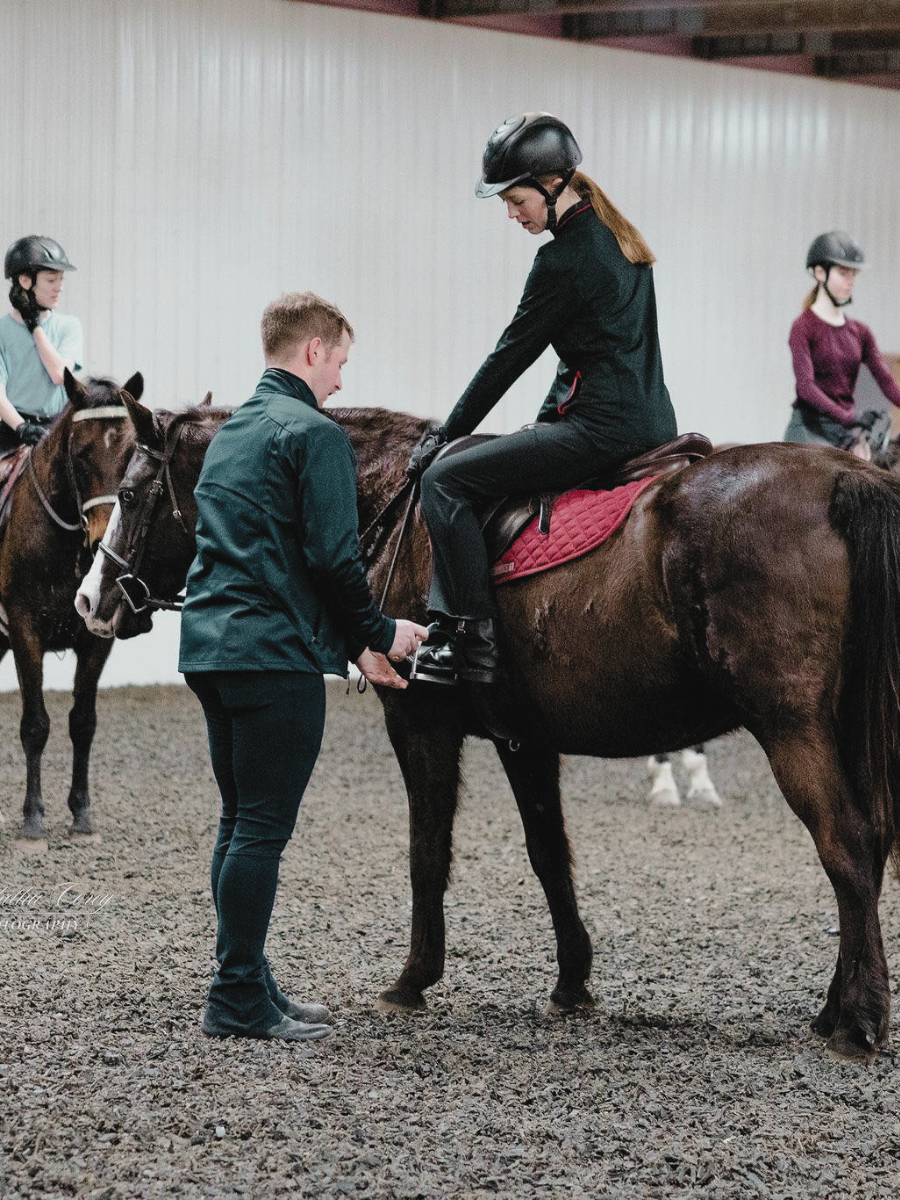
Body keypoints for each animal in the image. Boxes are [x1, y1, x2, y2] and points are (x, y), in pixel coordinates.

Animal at [0, 370, 144, 842]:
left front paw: (81, 813)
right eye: (79, 456)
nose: (103, 541)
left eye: (132, 455)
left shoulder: (98, 639)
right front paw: (33, 818)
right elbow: (35, 725)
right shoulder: (24, 631)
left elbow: (83, 722)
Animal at [75, 400, 900, 1064]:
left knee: (846, 847)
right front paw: (572, 982)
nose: (91, 600)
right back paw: (835, 1009)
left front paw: (412, 979)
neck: (394, 510)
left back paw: (857, 1022)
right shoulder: (523, 739)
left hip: (791, 725)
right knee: (867, 847)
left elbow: (427, 853)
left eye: (132, 494)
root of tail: (842, 479)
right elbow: (549, 855)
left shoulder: (420, 723)